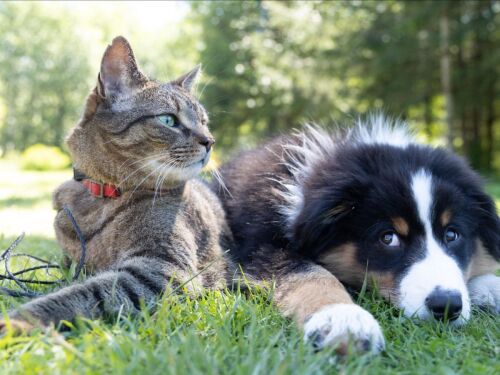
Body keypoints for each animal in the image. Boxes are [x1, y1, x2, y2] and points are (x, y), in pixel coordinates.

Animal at [0, 36, 234, 334]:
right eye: (168, 119)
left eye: (204, 122)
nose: (210, 141)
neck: (102, 197)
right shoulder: (70, 262)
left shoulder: (161, 268)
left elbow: (82, 294)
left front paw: (18, 320)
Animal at [214, 115, 500, 356]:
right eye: (388, 238)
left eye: (452, 234)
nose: (447, 306)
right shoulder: (259, 246)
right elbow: (310, 274)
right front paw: (343, 319)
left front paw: (490, 287)